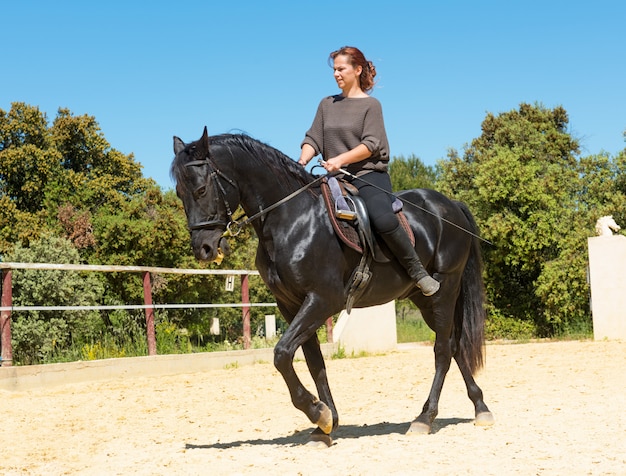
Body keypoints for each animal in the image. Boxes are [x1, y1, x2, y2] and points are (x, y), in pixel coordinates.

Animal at [172, 127, 492, 446]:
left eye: (201, 190)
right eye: (179, 194)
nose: (204, 249)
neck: (292, 220)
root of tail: (450, 206)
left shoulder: (322, 300)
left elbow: (282, 354)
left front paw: (318, 413)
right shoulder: (290, 306)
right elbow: (313, 362)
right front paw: (326, 423)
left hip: (445, 291)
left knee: (442, 350)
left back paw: (425, 417)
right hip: (424, 299)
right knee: (454, 346)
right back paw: (480, 407)